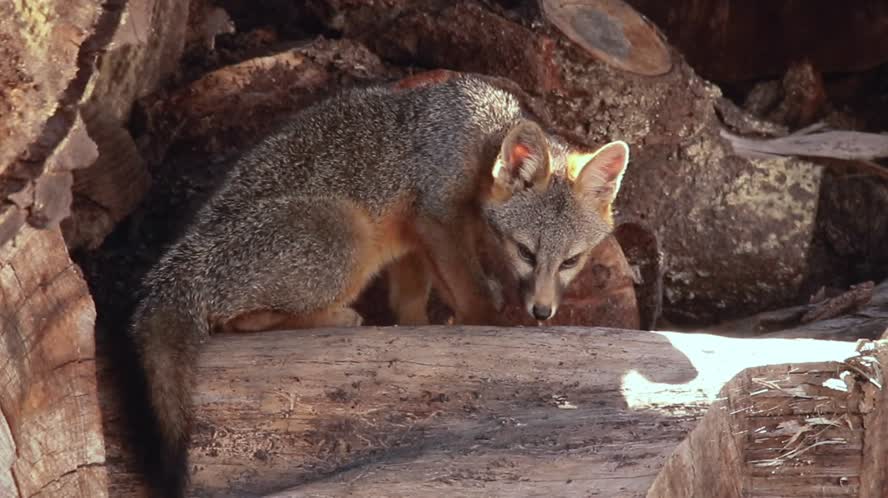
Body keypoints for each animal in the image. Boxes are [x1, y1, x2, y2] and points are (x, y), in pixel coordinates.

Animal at [129, 73, 629, 497]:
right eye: (525, 252)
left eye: (571, 262)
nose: (542, 312)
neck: (482, 132)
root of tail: (179, 265)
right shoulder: (438, 216)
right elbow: (471, 289)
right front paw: (489, 324)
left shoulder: (412, 240)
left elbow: (409, 300)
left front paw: (416, 329)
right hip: (346, 233)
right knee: (237, 321)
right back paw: (338, 318)